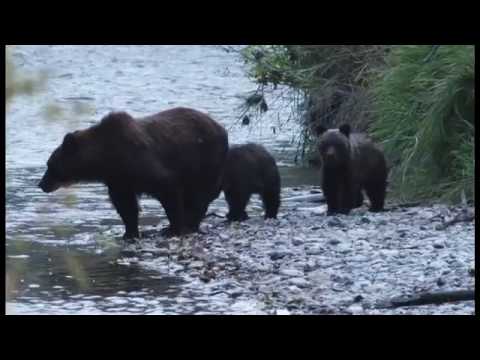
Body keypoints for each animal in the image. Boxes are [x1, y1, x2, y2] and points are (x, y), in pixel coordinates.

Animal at [37, 108, 229, 240]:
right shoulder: (119, 180)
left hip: (205, 159)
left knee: (200, 194)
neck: (106, 157)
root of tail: (222, 127)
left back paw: (190, 224)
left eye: (50, 165)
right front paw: (129, 232)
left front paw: (173, 228)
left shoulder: (144, 163)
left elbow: (168, 189)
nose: (41, 184)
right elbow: (125, 205)